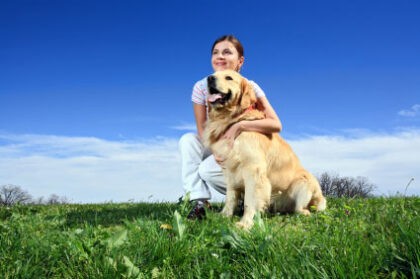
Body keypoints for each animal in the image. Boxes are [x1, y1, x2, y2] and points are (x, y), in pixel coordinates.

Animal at [202, 69, 326, 230]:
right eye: (214, 74)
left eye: (228, 77)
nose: (209, 78)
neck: (232, 119)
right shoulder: (229, 170)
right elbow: (230, 197)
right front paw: (224, 216)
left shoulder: (253, 169)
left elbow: (250, 201)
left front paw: (245, 223)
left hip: (304, 183)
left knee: (302, 208)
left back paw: (304, 212)